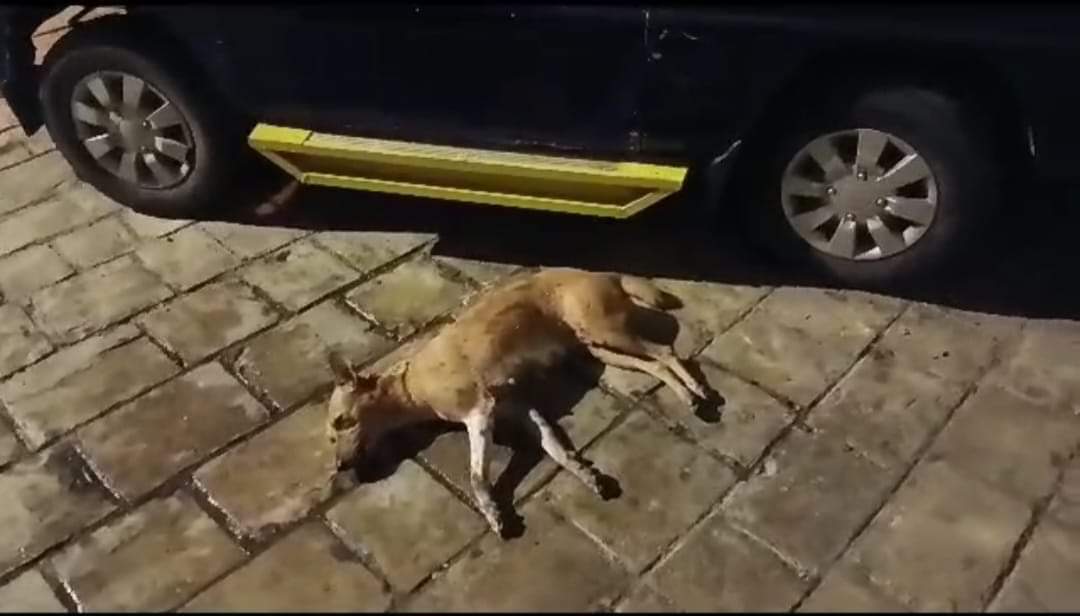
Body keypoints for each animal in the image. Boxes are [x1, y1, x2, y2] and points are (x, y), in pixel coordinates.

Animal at [327, 267, 712, 537]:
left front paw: (493, 513)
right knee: (656, 363)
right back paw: (688, 396)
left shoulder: (480, 415)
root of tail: (603, 273)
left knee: (666, 353)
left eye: (341, 422)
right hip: (599, 347)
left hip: (607, 331)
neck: (411, 386)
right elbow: (557, 449)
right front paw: (585, 474)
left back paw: (697, 392)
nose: (341, 467)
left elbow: (476, 477)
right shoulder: (521, 409)